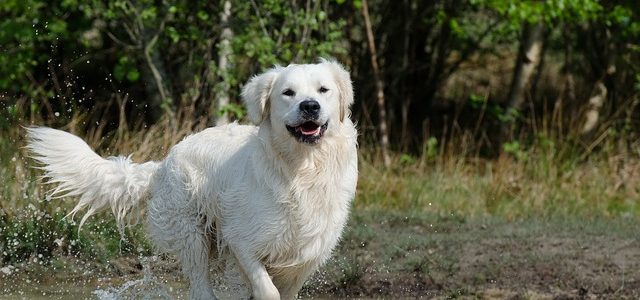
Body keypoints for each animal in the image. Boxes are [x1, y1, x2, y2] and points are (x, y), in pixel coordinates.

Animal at [27, 59, 358, 300]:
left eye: (323, 90)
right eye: (288, 93)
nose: (310, 106)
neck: (301, 170)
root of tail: (163, 164)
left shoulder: (306, 256)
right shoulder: (241, 241)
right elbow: (267, 289)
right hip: (191, 234)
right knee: (200, 287)